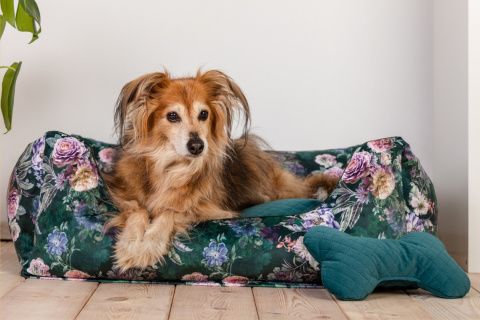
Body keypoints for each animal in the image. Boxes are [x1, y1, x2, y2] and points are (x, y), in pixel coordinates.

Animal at [104, 69, 338, 270]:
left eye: (203, 114)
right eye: (172, 116)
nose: (197, 146)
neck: (170, 164)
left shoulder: (205, 209)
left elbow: (168, 212)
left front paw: (147, 247)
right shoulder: (124, 196)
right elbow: (139, 210)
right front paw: (130, 245)